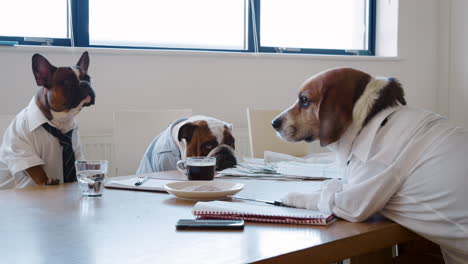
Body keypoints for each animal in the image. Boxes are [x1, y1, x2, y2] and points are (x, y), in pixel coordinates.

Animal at [272, 67, 466, 264]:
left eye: (304, 100)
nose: (274, 123)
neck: (368, 119)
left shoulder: (356, 197)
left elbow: (321, 196)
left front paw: (292, 196)